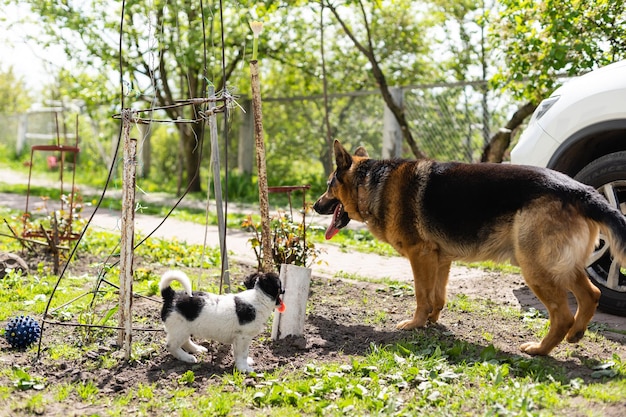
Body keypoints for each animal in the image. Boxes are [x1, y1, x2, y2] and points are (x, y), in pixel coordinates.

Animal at [314, 140, 624, 354]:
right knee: (592, 294)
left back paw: (540, 350)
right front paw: (432, 321)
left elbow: (421, 295)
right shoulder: (440, 259)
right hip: (560, 266)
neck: (370, 183)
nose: (315, 206)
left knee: (562, 315)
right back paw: (576, 334)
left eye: (329, 185)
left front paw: (415, 324)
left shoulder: (419, 255)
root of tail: (581, 191)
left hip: (536, 269)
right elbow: (437, 296)